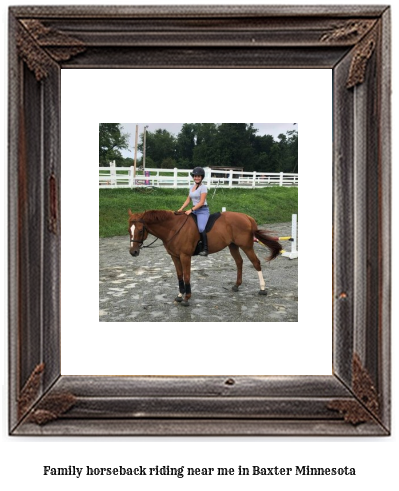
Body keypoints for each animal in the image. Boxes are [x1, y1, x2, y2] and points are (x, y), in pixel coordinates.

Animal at [128, 209, 282, 308]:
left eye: (140, 230)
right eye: (129, 230)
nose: (133, 252)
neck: (173, 228)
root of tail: (247, 217)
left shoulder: (185, 256)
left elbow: (187, 276)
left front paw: (187, 298)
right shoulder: (175, 256)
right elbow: (179, 275)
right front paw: (179, 295)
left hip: (246, 246)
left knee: (256, 263)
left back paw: (262, 289)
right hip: (233, 246)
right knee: (239, 262)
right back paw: (236, 285)